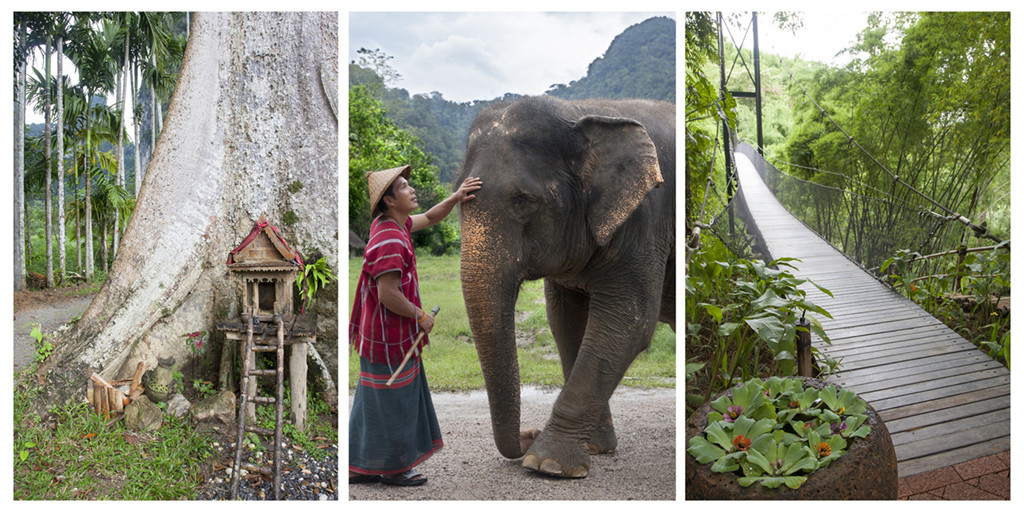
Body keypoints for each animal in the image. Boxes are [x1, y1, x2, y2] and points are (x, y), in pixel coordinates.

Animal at [456, 95, 671, 475]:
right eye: (456, 195)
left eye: (523, 201)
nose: (528, 433)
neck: (579, 111)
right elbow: (566, 322)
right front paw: (595, 448)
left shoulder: (645, 221)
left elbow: (628, 322)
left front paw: (548, 463)